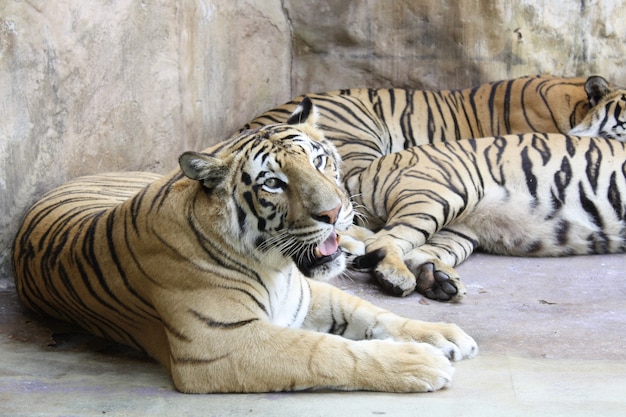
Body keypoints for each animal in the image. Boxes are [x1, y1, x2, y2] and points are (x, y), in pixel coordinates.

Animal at [12, 98, 476, 394]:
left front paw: (443, 334)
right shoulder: (221, 345)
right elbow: (327, 351)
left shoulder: (306, 294)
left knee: (371, 238)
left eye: (319, 160)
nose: (333, 211)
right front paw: (419, 362)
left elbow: (373, 314)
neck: (275, 267)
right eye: (273, 183)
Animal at [344, 76, 624, 300]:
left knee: (417, 252)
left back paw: (438, 280)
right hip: (435, 196)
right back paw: (397, 277)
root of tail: (364, 173)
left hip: (459, 228)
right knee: (382, 241)